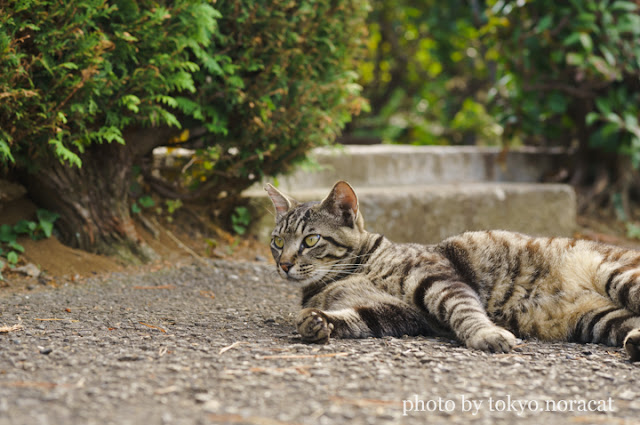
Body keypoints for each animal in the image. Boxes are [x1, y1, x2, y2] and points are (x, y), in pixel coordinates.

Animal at [264, 179, 640, 362]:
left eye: (311, 239)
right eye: (277, 241)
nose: (284, 264)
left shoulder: (437, 279)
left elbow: (465, 311)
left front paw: (488, 336)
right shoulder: (396, 314)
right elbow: (353, 319)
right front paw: (315, 323)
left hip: (619, 277)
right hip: (599, 320)